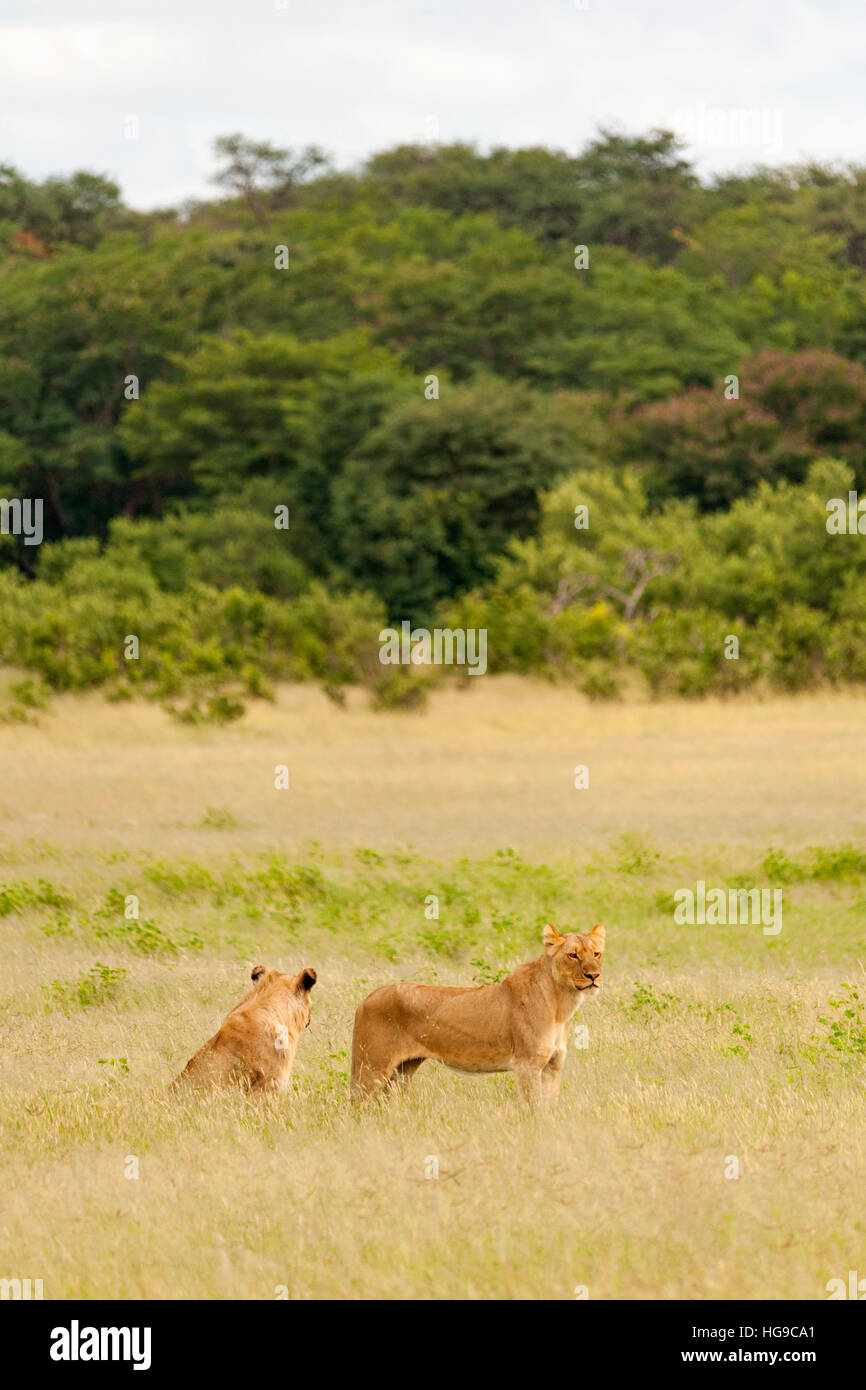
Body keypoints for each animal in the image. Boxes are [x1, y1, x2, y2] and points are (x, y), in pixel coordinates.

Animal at [350, 922, 603, 1106]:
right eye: (573, 955)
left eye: (597, 954)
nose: (594, 976)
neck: (562, 1004)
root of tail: (367, 998)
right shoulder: (527, 1065)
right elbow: (534, 1108)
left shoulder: (553, 1066)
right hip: (370, 1068)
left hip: (403, 1071)